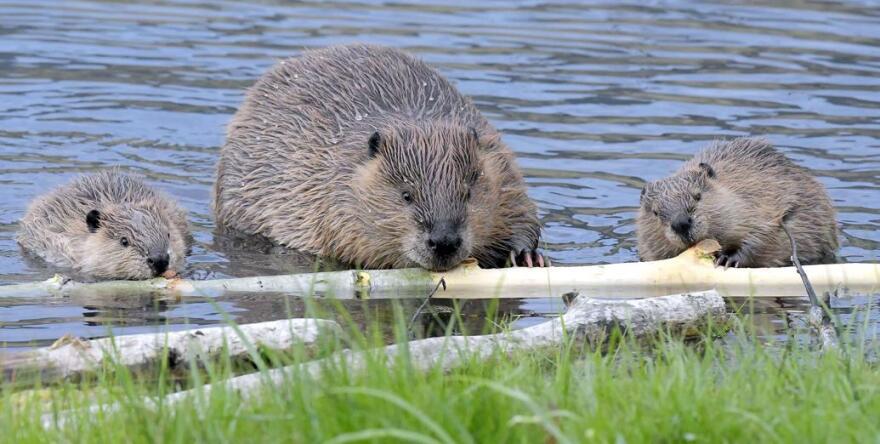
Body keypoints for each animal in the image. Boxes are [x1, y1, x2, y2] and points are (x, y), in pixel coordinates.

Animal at [213, 43, 544, 270]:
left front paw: (528, 255)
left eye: (468, 192)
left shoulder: (499, 162)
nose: (444, 241)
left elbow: (523, 212)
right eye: (407, 195)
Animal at [636, 137, 836, 268]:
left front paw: (728, 259)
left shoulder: (764, 200)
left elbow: (764, 235)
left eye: (698, 196)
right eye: (655, 212)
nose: (681, 223)